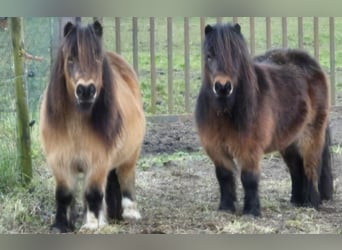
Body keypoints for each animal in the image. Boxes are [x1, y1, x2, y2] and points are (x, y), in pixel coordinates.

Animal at [39, 20, 146, 232]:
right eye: (70, 59)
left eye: (97, 58)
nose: (86, 90)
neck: (75, 126)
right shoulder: (60, 163)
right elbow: (64, 195)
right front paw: (61, 225)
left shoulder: (97, 163)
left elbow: (93, 193)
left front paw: (92, 224)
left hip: (130, 155)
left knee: (126, 179)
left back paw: (130, 212)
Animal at [196, 22, 332, 216]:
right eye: (209, 56)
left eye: (236, 55)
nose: (223, 87)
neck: (226, 111)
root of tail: (310, 63)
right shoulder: (216, 148)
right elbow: (224, 176)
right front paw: (226, 207)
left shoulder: (250, 148)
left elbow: (249, 178)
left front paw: (251, 211)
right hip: (289, 140)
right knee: (296, 168)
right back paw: (296, 200)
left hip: (312, 134)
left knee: (311, 166)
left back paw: (311, 203)